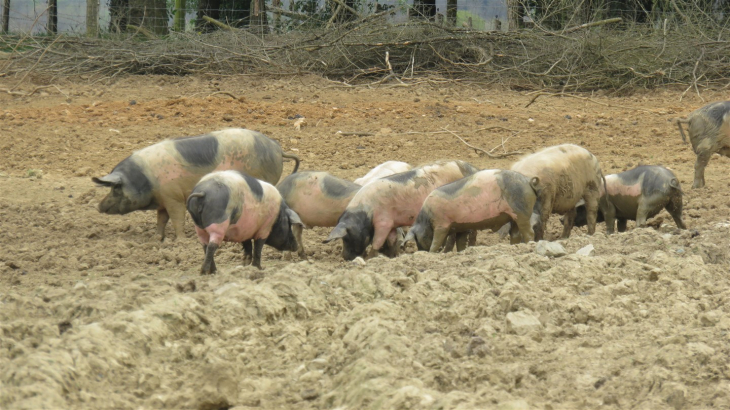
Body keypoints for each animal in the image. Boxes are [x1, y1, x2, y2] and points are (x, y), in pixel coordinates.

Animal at [93, 128, 298, 242]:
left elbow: (177, 219)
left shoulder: (174, 197)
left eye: (116, 188)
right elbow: (161, 220)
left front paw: (180, 241)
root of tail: (278, 149)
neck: (146, 179)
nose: (99, 206)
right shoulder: (164, 200)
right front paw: (157, 239)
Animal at [322, 159, 478, 260]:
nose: (345, 258)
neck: (366, 213)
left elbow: (377, 241)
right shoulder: (392, 223)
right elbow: (391, 240)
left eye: (346, 238)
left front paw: (371, 258)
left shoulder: (383, 222)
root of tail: (472, 169)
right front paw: (394, 256)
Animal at [400, 168, 536, 251]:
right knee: (516, 234)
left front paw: (431, 253)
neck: (426, 218)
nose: (421, 251)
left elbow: (436, 242)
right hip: (515, 216)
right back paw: (513, 247)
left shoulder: (441, 225)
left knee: (529, 232)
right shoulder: (461, 227)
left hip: (522, 212)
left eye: (417, 238)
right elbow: (460, 243)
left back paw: (529, 245)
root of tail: (528, 180)